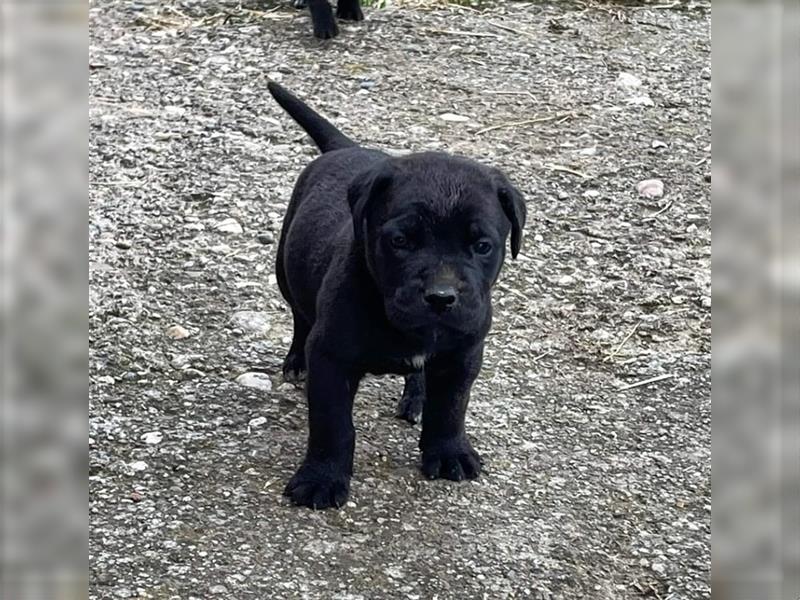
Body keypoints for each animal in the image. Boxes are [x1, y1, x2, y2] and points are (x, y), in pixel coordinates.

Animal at [272, 82, 528, 508]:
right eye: (400, 241)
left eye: (482, 246)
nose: (441, 297)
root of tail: (346, 147)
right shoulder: (331, 359)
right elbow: (333, 426)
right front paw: (322, 479)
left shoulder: (463, 355)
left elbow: (451, 409)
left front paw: (449, 452)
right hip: (285, 270)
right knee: (299, 316)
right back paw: (295, 359)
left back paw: (417, 397)